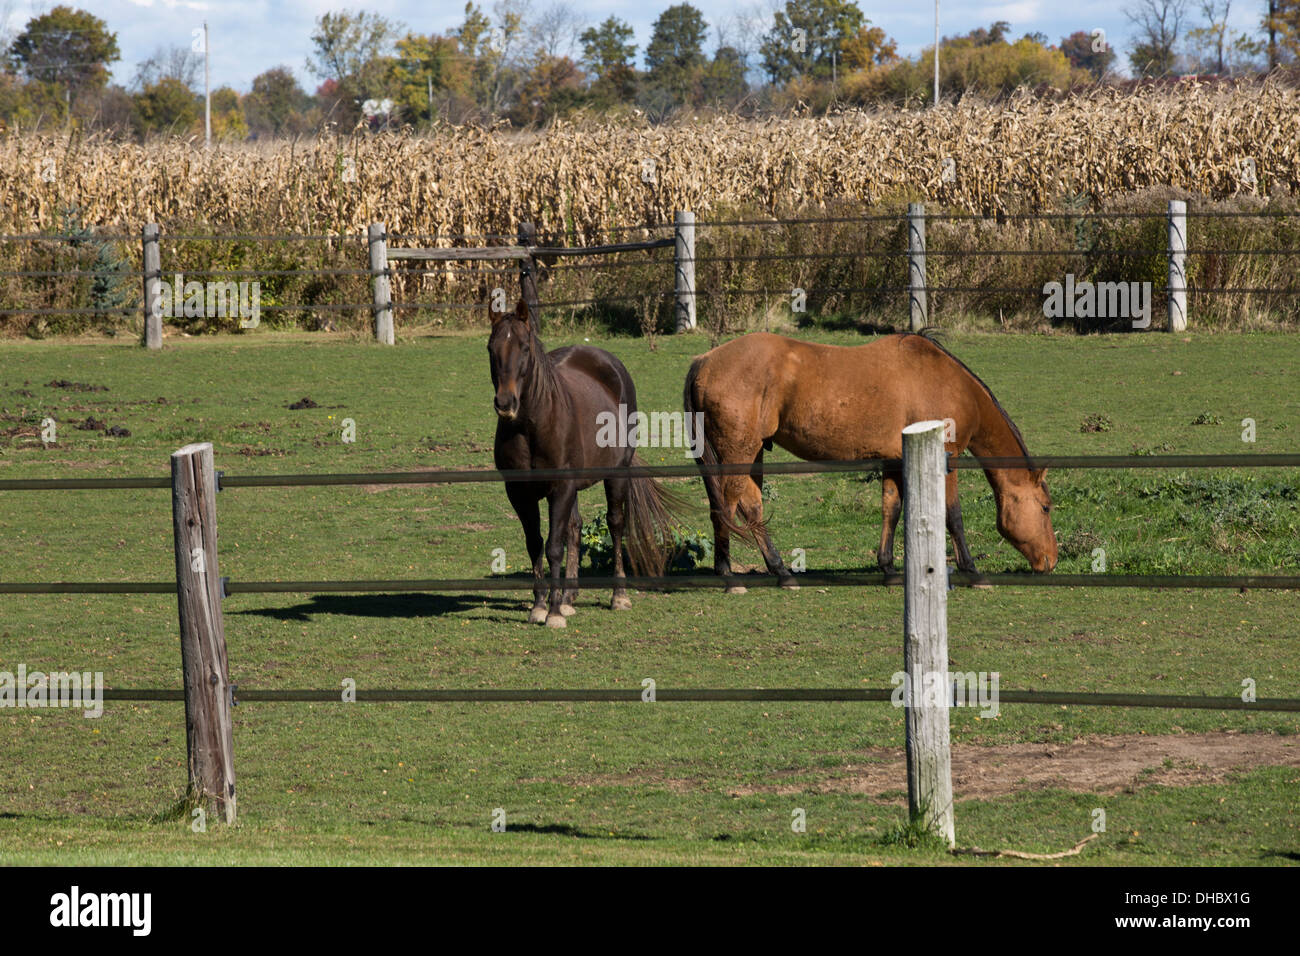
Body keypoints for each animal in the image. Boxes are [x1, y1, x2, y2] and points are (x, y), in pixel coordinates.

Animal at [488, 299, 681, 629]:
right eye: (491, 348)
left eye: (524, 347)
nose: (505, 403)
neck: (531, 426)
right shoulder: (519, 492)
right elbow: (535, 543)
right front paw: (540, 606)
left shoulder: (561, 487)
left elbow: (554, 547)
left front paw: (552, 613)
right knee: (575, 529)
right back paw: (568, 597)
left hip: (615, 475)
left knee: (615, 525)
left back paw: (618, 596)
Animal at [681, 330, 1055, 590]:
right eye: (1046, 507)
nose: (1050, 561)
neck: (947, 383)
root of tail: (704, 361)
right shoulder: (947, 459)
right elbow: (953, 516)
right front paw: (973, 571)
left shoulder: (894, 461)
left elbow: (892, 509)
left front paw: (888, 567)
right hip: (738, 452)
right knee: (727, 507)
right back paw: (730, 577)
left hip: (753, 451)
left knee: (750, 506)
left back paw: (782, 571)